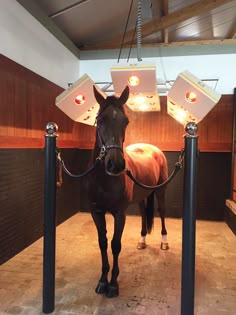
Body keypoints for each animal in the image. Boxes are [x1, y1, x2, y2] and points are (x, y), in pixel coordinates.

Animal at [85, 86, 169, 298]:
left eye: (126, 121)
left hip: (161, 191)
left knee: (162, 213)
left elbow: (115, 245)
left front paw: (113, 284)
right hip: (142, 196)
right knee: (143, 215)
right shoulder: (96, 212)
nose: (115, 164)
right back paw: (142, 241)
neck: (103, 179)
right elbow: (103, 242)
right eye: (100, 120)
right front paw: (102, 281)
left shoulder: (119, 214)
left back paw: (164, 242)